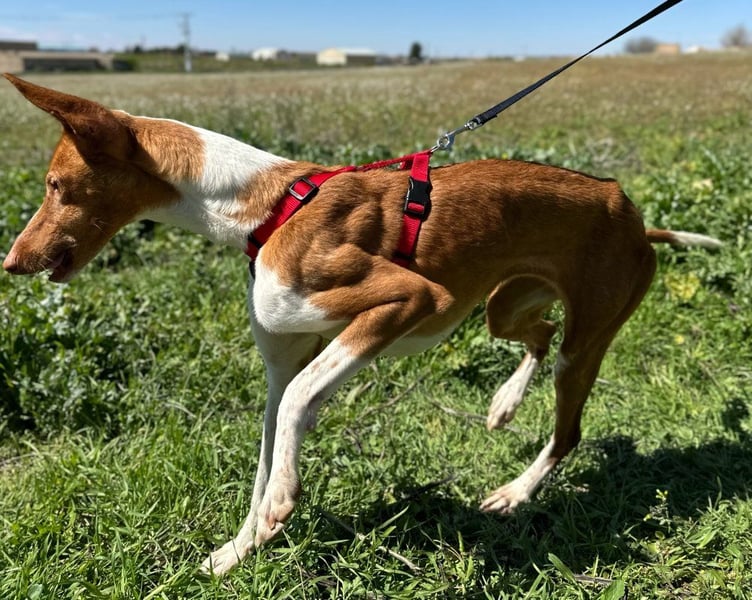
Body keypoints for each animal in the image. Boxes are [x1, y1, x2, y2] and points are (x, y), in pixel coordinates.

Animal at [2, 74, 721, 576]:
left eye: (56, 186)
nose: (12, 261)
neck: (267, 208)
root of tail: (635, 216)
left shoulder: (408, 299)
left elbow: (297, 409)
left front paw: (279, 508)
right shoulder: (286, 361)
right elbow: (268, 447)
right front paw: (236, 551)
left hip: (584, 335)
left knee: (566, 430)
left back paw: (515, 493)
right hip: (503, 305)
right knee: (536, 339)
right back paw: (503, 404)